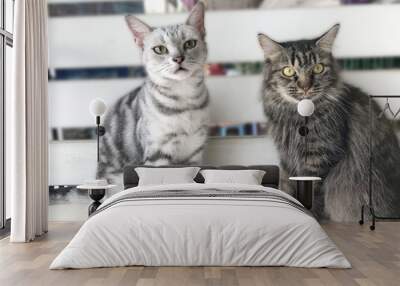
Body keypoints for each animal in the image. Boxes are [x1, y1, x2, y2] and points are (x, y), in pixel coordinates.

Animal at [97, 2, 209, 183]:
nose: (178, 58)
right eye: (160, 49)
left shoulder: (195, 151)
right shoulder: (158, 153)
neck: (185, 99)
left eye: (190, 44)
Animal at [258, 24, 400, 221]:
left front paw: (310, 215)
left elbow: (311, 193)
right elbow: (285, 187)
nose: (305, 87)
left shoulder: (320, 157)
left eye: (318, 68)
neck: (296, 118)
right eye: (288, 71)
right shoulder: (287, 158)